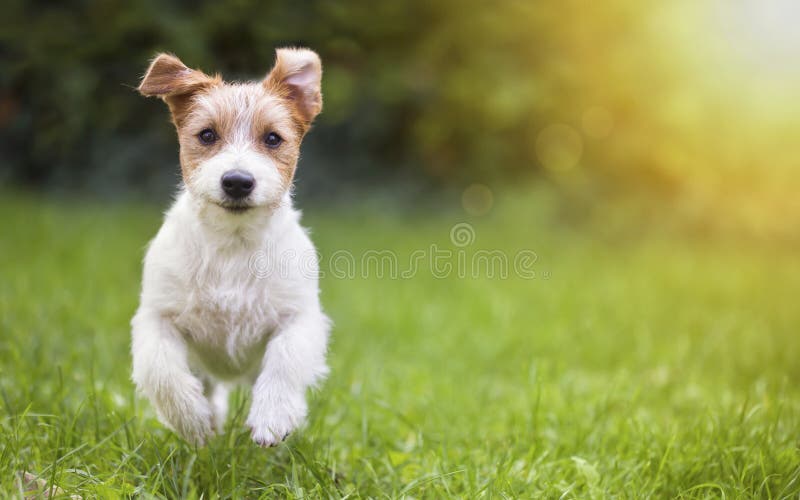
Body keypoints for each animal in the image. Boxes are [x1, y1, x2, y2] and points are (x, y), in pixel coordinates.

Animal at [130, 47, 328, 446]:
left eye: (273, 139)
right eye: (207, 134)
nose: (237, 181)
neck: (232, 243)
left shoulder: (298, 317)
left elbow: (285, 359)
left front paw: (273, 416)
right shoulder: (156, 318)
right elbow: (163, 371)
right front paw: (193, 421)